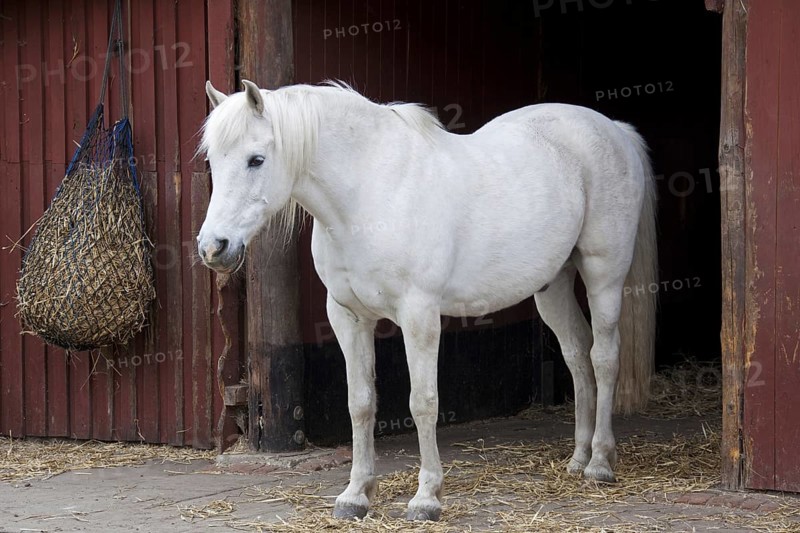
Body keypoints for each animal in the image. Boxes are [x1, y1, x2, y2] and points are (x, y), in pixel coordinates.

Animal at [197, 79, 657, 522]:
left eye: (256, 159)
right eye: (213, 161)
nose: (213, 247)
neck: (370, 193)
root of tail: (615, 129)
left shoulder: (419, 315)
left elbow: (423, 403)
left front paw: (426, 498)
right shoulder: (348, 317)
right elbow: (360, 403)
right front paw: (355, 495)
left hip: (603, 275)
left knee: (604, 357)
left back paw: (600, 463)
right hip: (553, 285)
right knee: (578, 355)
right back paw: (578, 459)